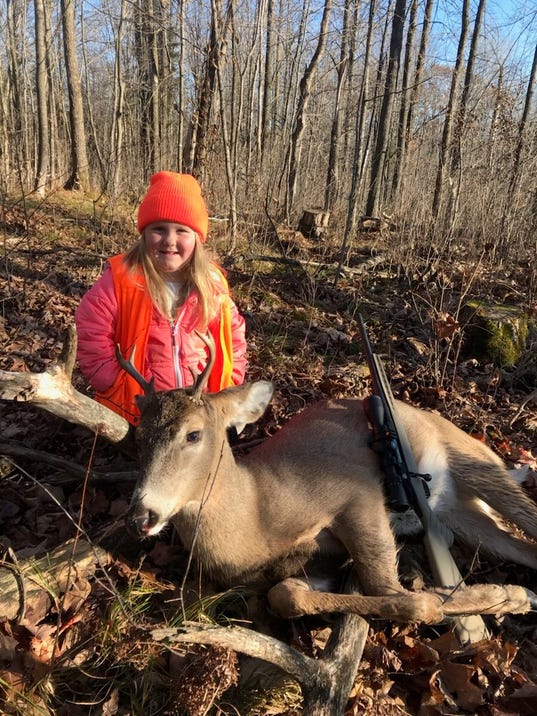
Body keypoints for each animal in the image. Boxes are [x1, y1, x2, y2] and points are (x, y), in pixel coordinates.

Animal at [120, 334, 537, 627]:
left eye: (193, 434)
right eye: (138, 437)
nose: (142, 515)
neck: (257, 517)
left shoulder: (355, 494)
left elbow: (387, 587)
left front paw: (498, 595)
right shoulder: (308, 567)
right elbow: (286, 595)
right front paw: (507, 596)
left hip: (473, 459)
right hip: (461, 513)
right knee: (520, 547)